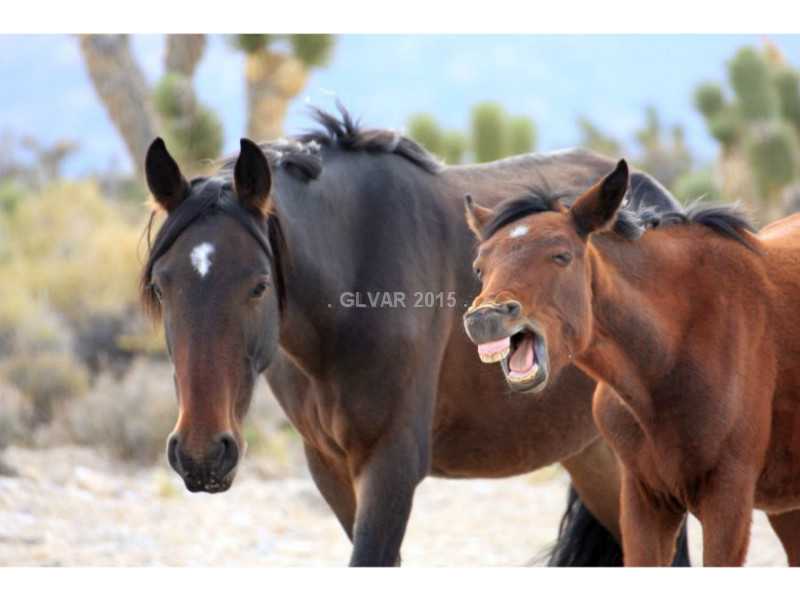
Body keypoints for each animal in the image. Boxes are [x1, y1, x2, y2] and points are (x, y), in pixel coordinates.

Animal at [139, 107, 690, 566]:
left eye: (258, 285)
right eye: (162, 287)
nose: (202, 455)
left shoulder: (392, 466)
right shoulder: (330, 469)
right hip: (594, 455)